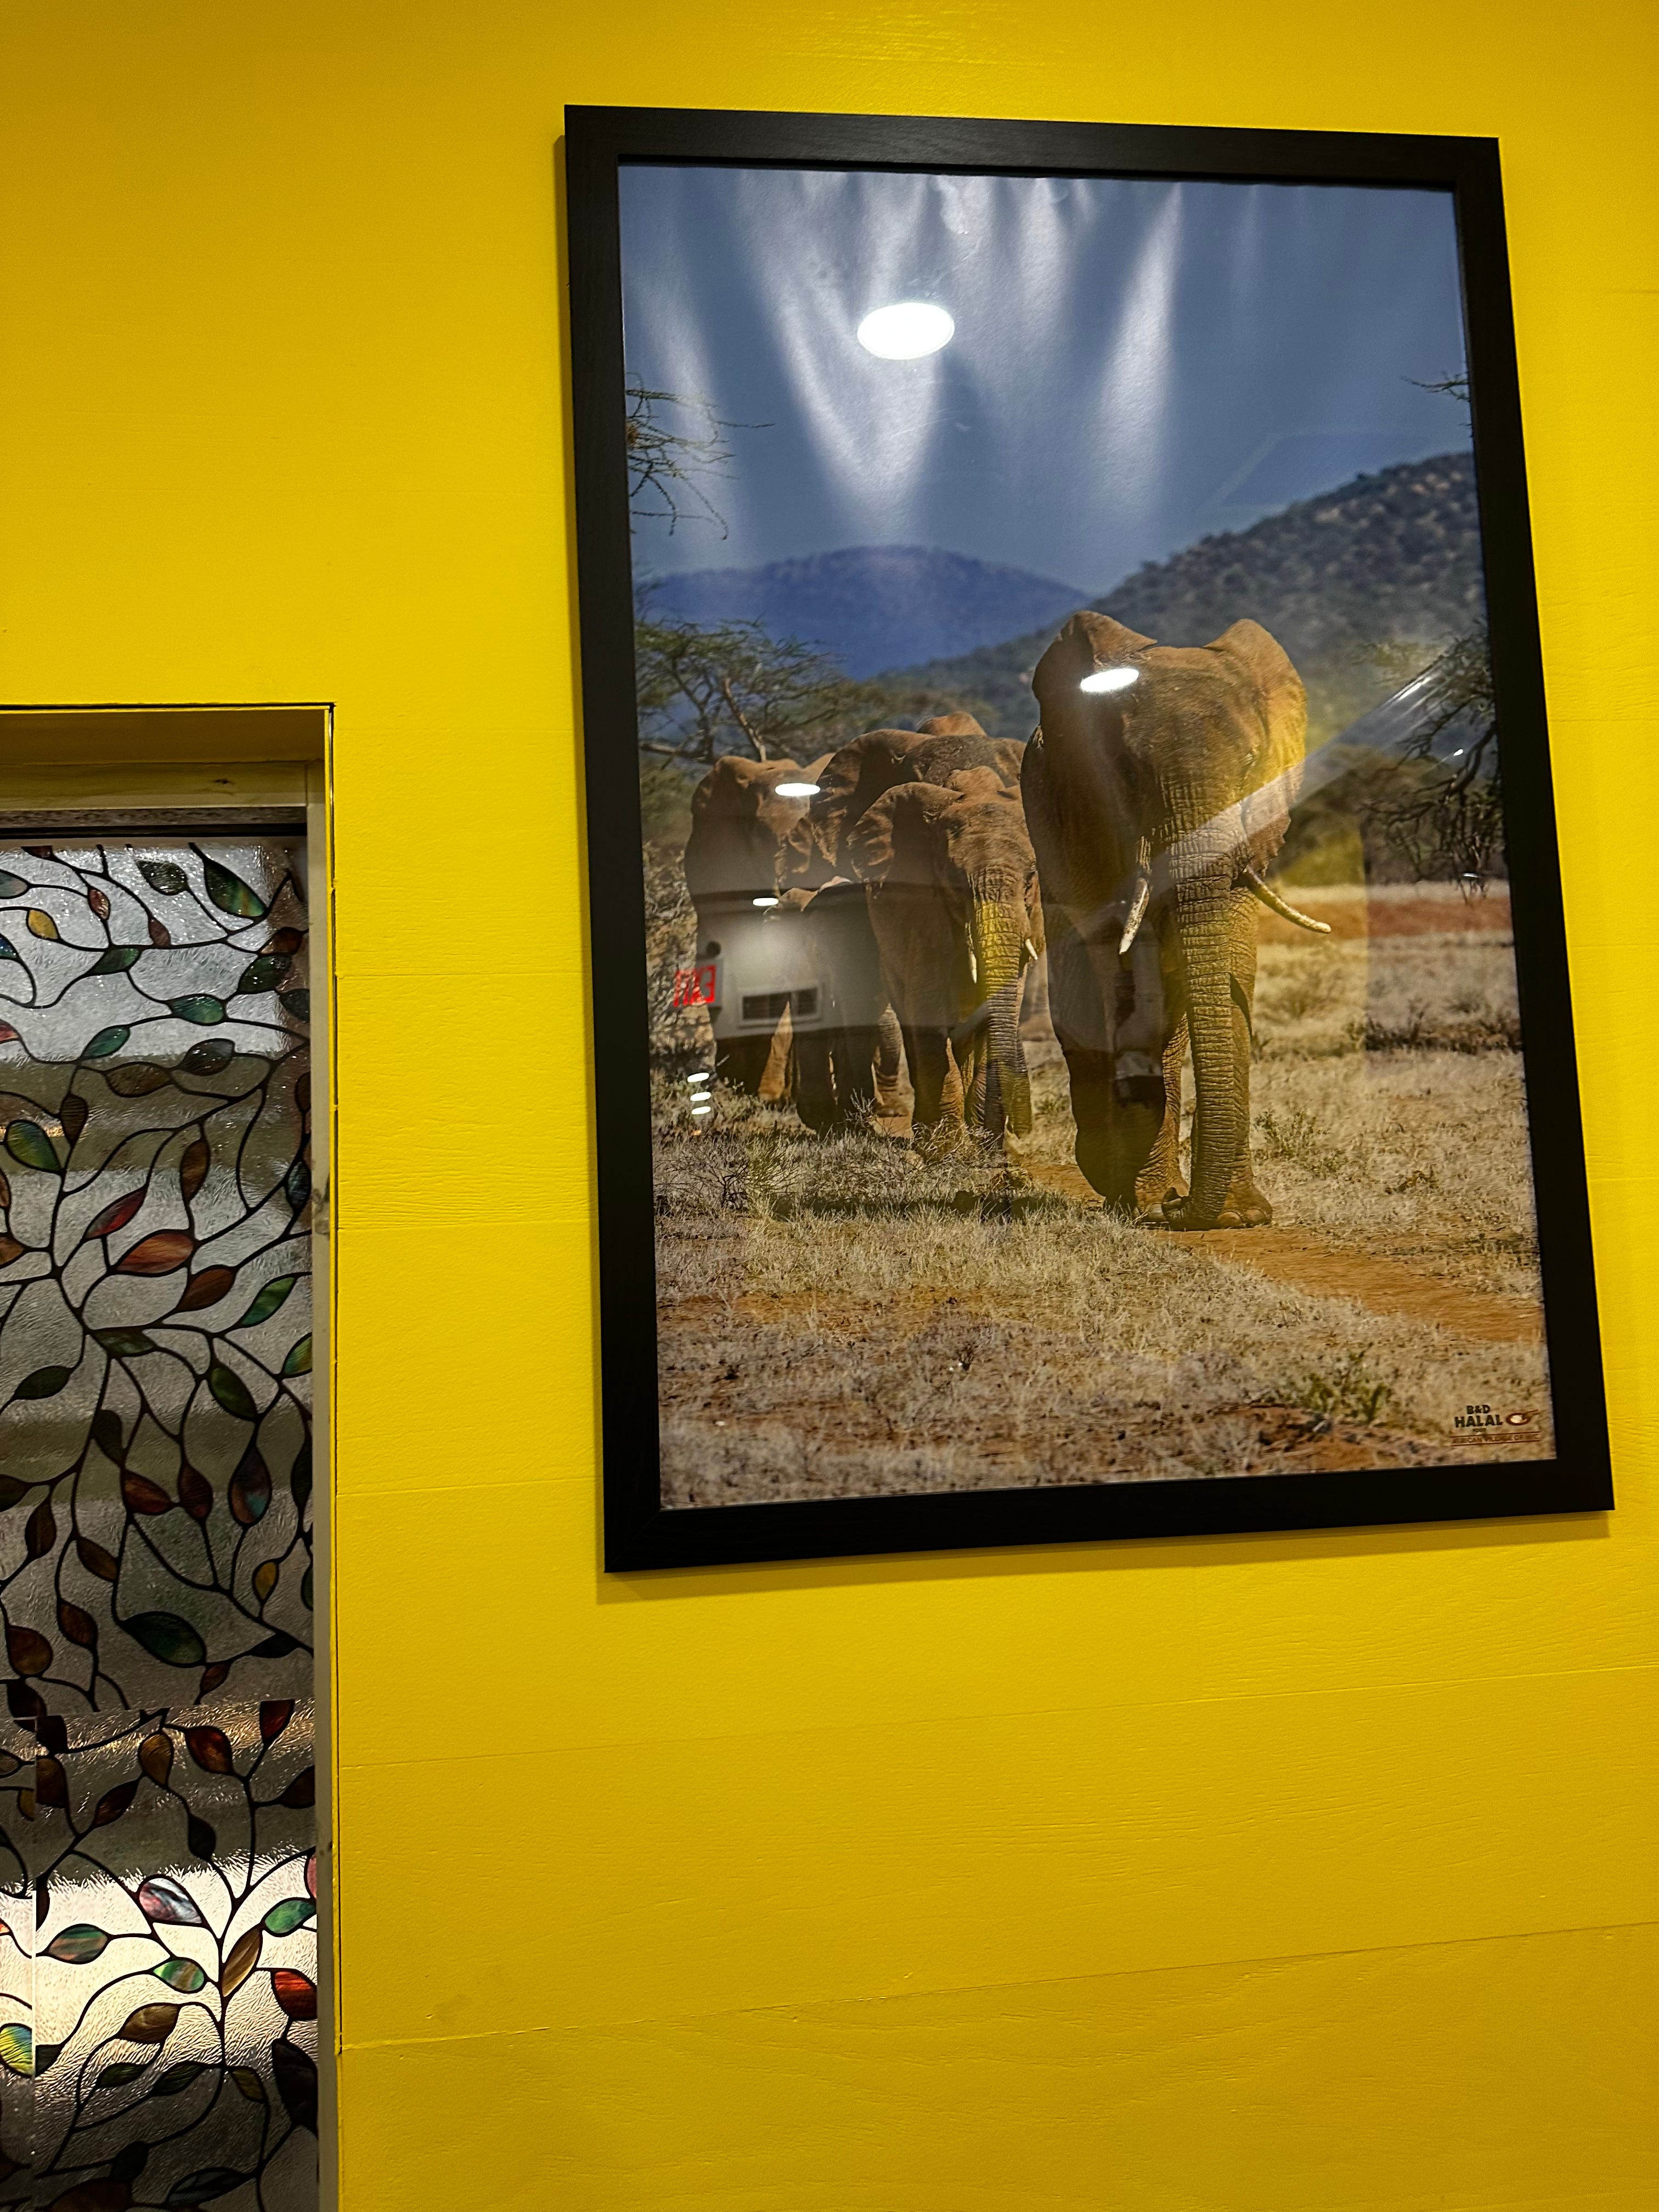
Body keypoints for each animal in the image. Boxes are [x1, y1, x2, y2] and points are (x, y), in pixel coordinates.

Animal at [849, 767, 1043, 1142]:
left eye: (1031, 878)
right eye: (955, 883)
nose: (1022, 1131)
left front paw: (985, 1146)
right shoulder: (920, 911)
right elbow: (928, 1004)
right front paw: (950, 1149)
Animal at [1023, 609, 1328, 1227]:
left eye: (1251, 765)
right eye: (1130, 773)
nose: (1179, 1210)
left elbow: (1234, 960)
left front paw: (1241, 1216)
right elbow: (1123, 967)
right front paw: (1145, 1195)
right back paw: (1117, 1177)